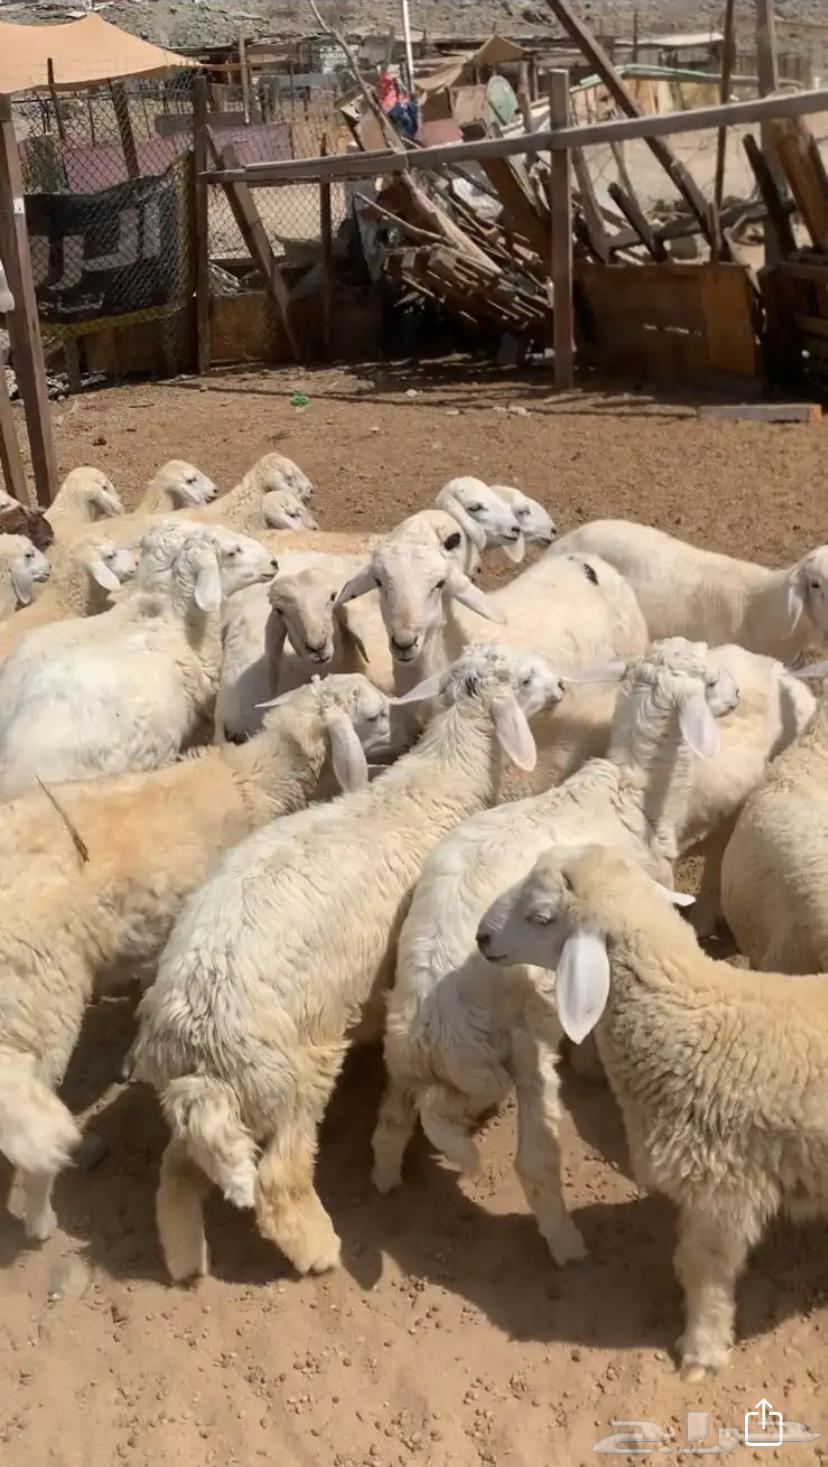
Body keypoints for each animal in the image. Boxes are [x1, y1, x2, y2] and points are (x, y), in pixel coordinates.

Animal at [131, 641, 568, 1282]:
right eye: (527, 679)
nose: (562, 686)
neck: (434, 784)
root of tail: (192, 1030)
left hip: (208, 1101)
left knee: (175, 1173)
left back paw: (186, 1259)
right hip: (296, 1072)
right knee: (276, 1181)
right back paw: (318, 1251)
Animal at [371, 639, 739, 1262]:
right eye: (710, 680)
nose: (737, 694)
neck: (635, 787)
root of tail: (431, 1017)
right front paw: (592, 1064)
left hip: (409, 1049)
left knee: (395, 1118)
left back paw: (387, 1180)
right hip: (520, 1038)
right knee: (533, 1161)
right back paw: (566, 1243)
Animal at [476, 842, 828, 1381]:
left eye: (541, 918)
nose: (482, 938)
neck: (690, 1019)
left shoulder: (723, 1188)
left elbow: (702, 1272)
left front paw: (701, 1351)